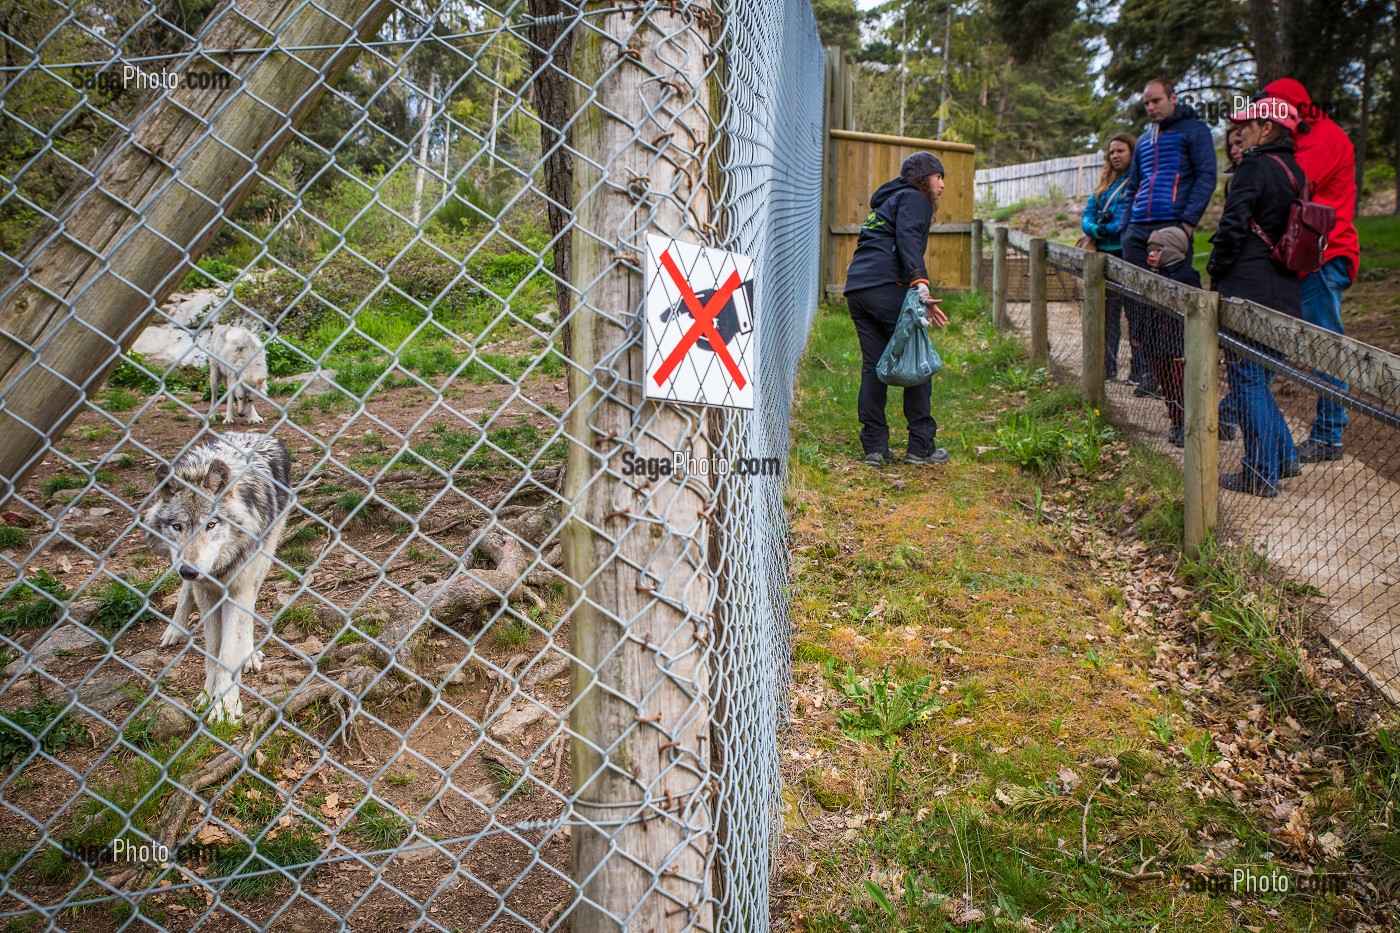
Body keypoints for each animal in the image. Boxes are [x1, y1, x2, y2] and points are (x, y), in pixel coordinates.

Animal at [143, 431, 291, 717]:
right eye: (177, 526)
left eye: (211, 525)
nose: (189, 570)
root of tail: (248, 433)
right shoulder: (205, 591)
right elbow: (213, 648)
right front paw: (207, 695)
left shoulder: (239, 585)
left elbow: (228, 651)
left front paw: (225, 706)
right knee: (185, 592)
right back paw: (175, 630)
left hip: (264, 558)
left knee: (249, 608)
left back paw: (249, 654)